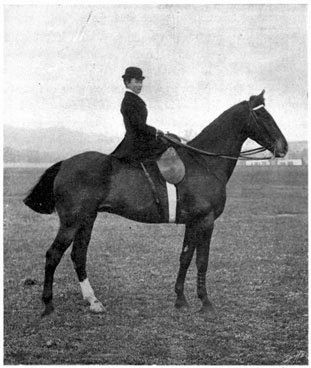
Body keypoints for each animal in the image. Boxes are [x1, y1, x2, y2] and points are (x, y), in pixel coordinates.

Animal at [23, 90, 288, 316]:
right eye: (264, 115)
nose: (284, 147)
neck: (204, 162)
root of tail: (65, 163)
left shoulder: (192, 222)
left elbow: (185, 257)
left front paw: (180, 299)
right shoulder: (206, 221)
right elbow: (202, 260)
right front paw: (205, 302)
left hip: (87, 220)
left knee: (78, 255)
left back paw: (93, 301)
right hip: (72, 222)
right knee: (53, 255)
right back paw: (48, 305)